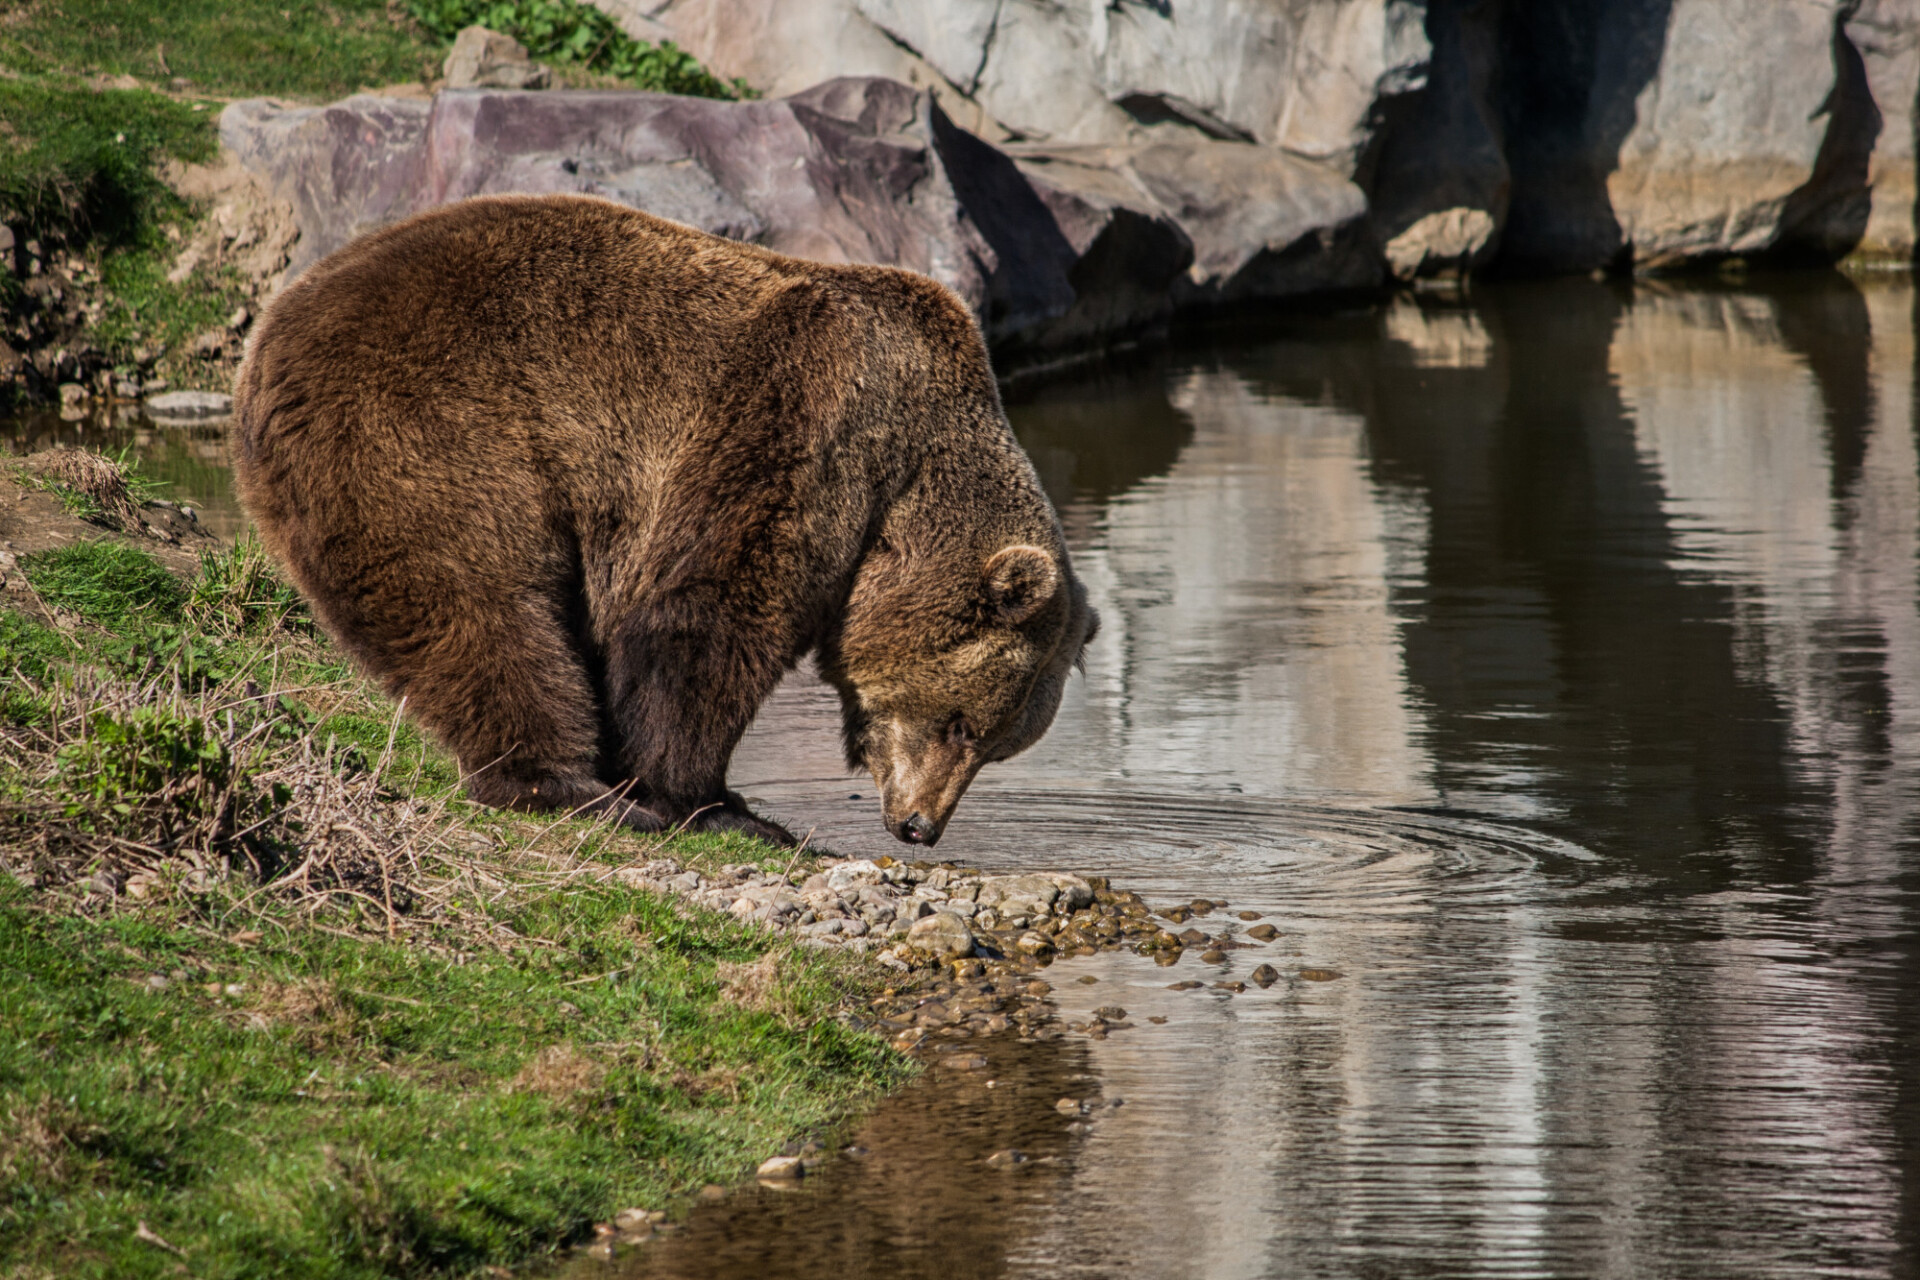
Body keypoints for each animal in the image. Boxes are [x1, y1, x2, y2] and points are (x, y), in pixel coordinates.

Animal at [232, 195, 1098, 844]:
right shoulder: (812, 405)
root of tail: (270, 335)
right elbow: (709, 606)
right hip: (433, 425)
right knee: (483, 602)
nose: (920, 826)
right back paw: (565, 785)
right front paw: (714, 803)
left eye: (997, 743)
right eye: (962, 725)